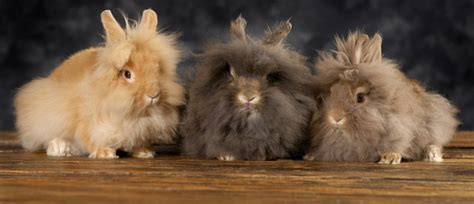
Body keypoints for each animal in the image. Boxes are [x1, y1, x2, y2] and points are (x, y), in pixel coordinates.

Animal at [13, 9, 184, 159]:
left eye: (157, 68)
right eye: (127, 74)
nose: (153, 95)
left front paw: (144, 152)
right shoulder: (85, 124)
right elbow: (88, 140)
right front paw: (105, 153)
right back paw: (60, 148)